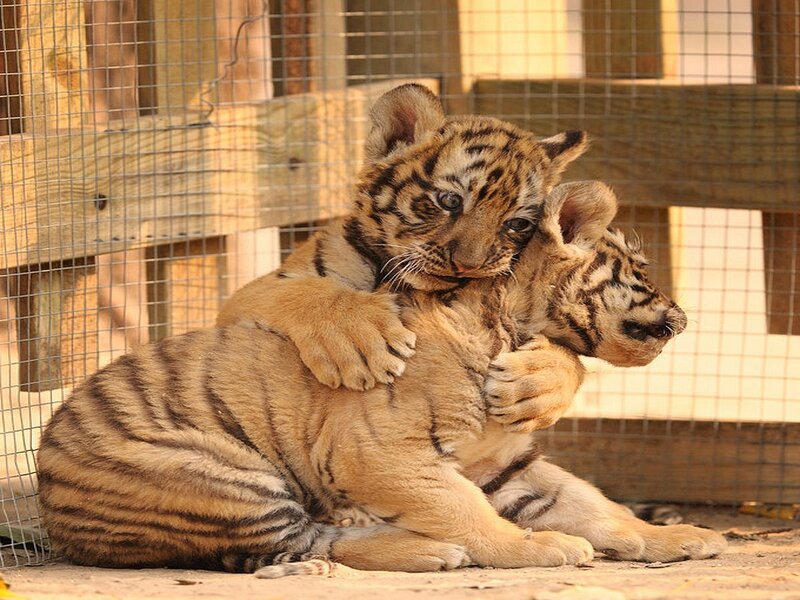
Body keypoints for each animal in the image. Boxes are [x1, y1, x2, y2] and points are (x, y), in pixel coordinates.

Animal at [36, 176, 726, 575]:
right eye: (639, 269)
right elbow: (466, 510)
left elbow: (589, 502)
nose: (686, 320)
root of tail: (53, 520)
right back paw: (432, 551)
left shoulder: (504, 461)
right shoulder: (384, 456)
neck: (513, 327)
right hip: (222, 472)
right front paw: (537, 548)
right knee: (312, 541)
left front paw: (671, 536)